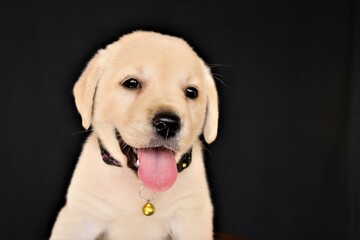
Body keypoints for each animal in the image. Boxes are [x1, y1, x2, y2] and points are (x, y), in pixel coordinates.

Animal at [50, 31, 219, 239]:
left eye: (192, 92)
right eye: (131, 83)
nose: (168, 124)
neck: (141, 185)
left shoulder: (192, 218)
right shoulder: (79, 215)